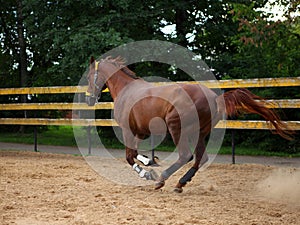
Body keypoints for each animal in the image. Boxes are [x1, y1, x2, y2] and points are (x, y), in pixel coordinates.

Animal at [85, 55, 292, 192]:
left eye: (89, 76)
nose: (88, 99)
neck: (126, 90)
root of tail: (214, 98)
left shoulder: (128, 131)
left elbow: (130, 157)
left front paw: (148, 173)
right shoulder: (140, 132)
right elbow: (136, 154)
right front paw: (150, 163)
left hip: (177, 128)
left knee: (186, 155)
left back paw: (163, 180)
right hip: (199, 133)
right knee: (201, 157)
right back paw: (180, 183)